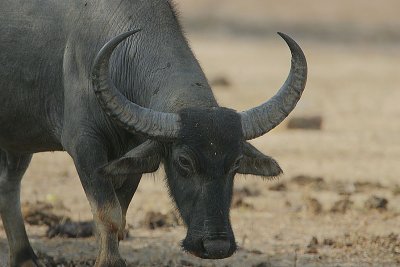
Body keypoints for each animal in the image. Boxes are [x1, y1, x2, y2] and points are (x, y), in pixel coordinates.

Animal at [0, 0, 308, 267]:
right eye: (184, 162)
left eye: (235, 163)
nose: (216, 246)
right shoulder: (84, 146)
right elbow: (108, 214)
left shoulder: (133, 153)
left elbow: (121, 214)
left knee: (9, 184)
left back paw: (24, 257)